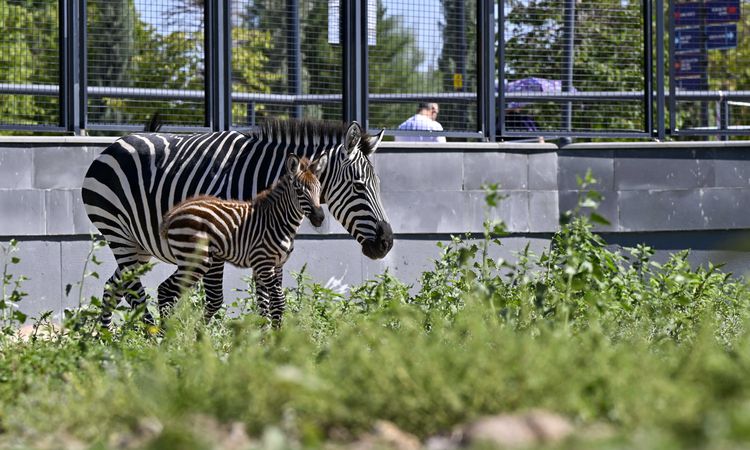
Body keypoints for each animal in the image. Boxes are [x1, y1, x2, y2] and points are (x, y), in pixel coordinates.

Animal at [159, 153, 327, 325]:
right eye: (299, 190)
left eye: (319, 189)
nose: (319, 219)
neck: (278, 221)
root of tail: (174, 212)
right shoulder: (264, 264)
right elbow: (279, 301)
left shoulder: (276, 265)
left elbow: (267, 305)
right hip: (196, 260)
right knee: (166, 290)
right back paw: (165, 331)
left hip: (192, 259)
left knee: (165, 289)